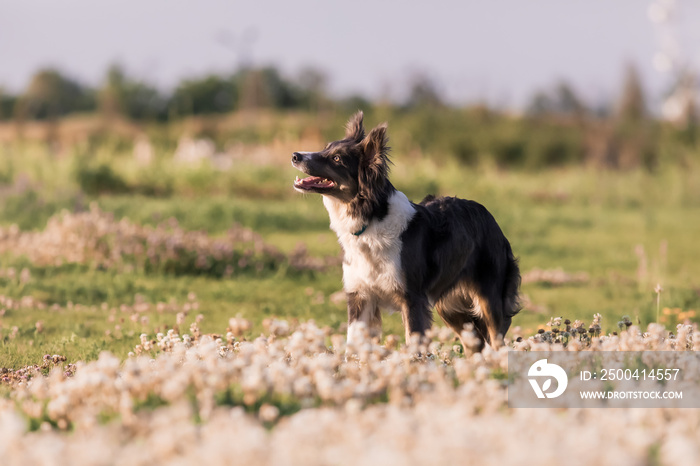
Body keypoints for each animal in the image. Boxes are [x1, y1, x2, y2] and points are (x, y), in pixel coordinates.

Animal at [292, 110, 520, 350]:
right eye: (325, 148)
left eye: (337, 159)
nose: (295, 155)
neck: (370, 220)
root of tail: (490, 217)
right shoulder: (360, 296)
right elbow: (352, 346)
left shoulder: (412, 298)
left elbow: (414, 344)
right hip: (451, 308)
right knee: (474, 345)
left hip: (489, 300)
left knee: (496, 340)